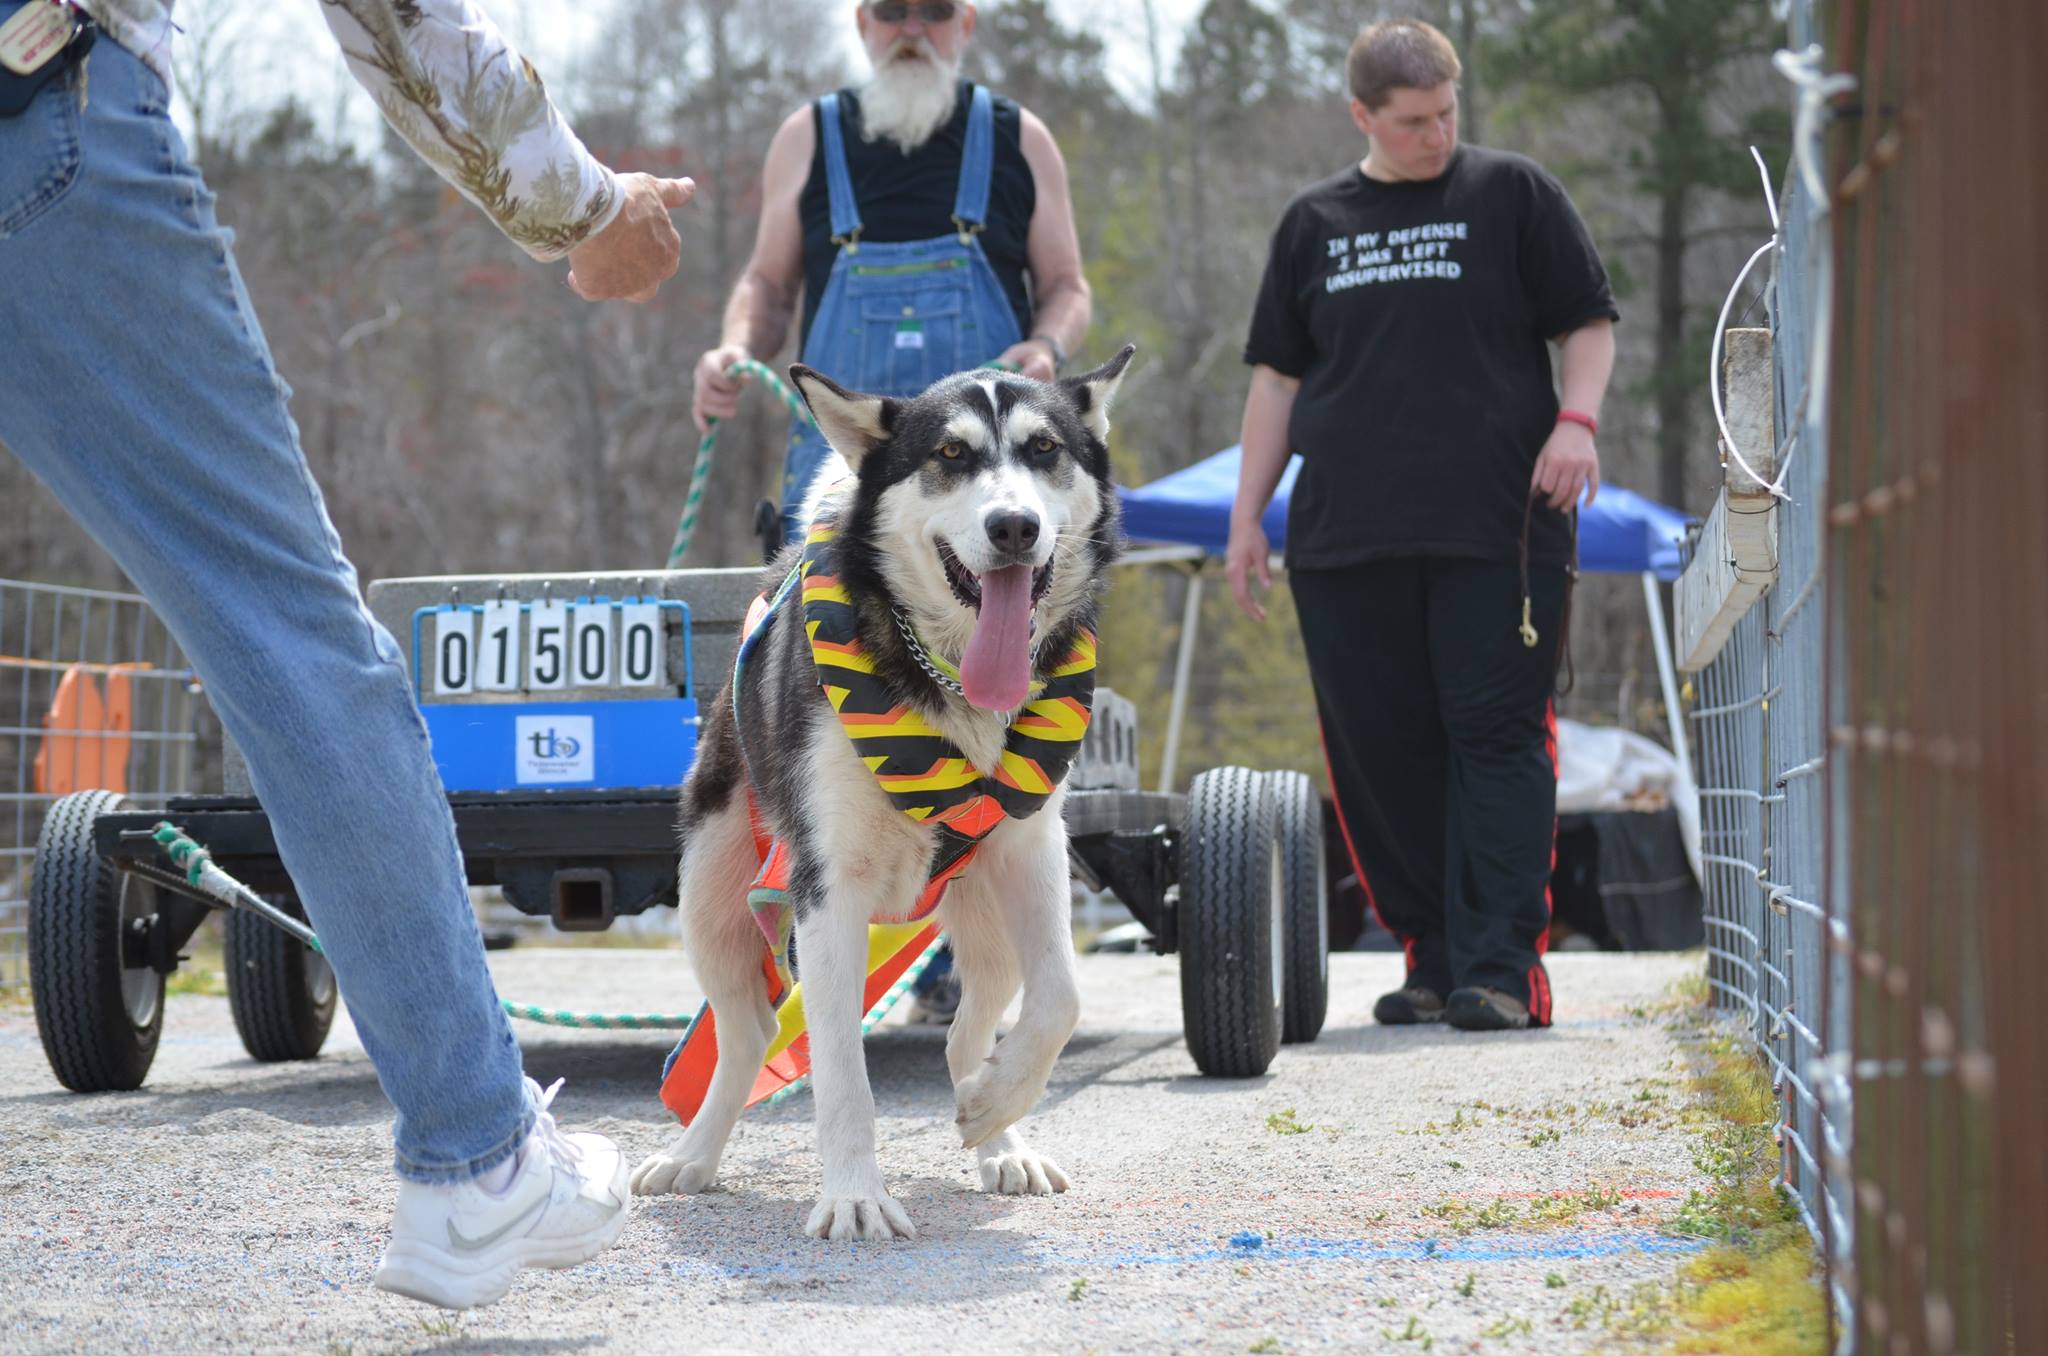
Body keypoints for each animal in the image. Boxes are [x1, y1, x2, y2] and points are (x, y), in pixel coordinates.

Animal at [630, 346, 1138, 1237]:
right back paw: (694, 1153)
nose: (1014, 527)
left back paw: (998, 1133)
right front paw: (855, 1195)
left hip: (982, 914)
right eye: (950, 454)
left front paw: (996, 1106)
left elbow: (1061, 1000)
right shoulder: (827, 893)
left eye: (1044, 449)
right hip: (712, 902)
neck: (951, 678)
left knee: (971, 1025)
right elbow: (839, 1068)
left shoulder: (1033, 854)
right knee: (749, 1030)